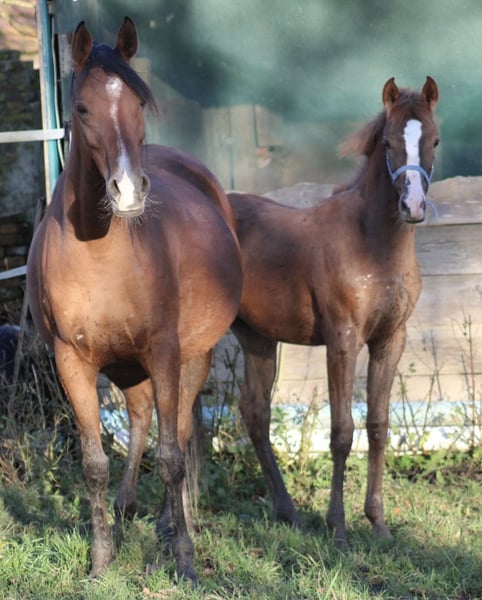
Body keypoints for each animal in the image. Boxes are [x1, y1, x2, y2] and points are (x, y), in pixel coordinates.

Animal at [26, 17, 242, 582]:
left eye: (140, 103)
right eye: (82, 108)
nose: (128, 190)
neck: (99, 251)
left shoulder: (163, 350)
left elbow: (170, 457)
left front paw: (185, 561)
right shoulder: (72, 361)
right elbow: (94, 464)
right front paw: (101, 560)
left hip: (192, 356)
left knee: (179, 432)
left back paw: (171, 524)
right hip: (125, 363)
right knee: (143, 415)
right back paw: (127, 511)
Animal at [227, 76, 439, 547]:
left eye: (434, 140)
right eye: (388, 142)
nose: (413, 207)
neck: (372, 246)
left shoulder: (389, 340)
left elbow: (378, 426)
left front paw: (378, 523)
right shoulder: (341, 340)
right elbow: (342, 431)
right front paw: (338, 528)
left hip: (257, 338)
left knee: (254, 412)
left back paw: (288, 512)